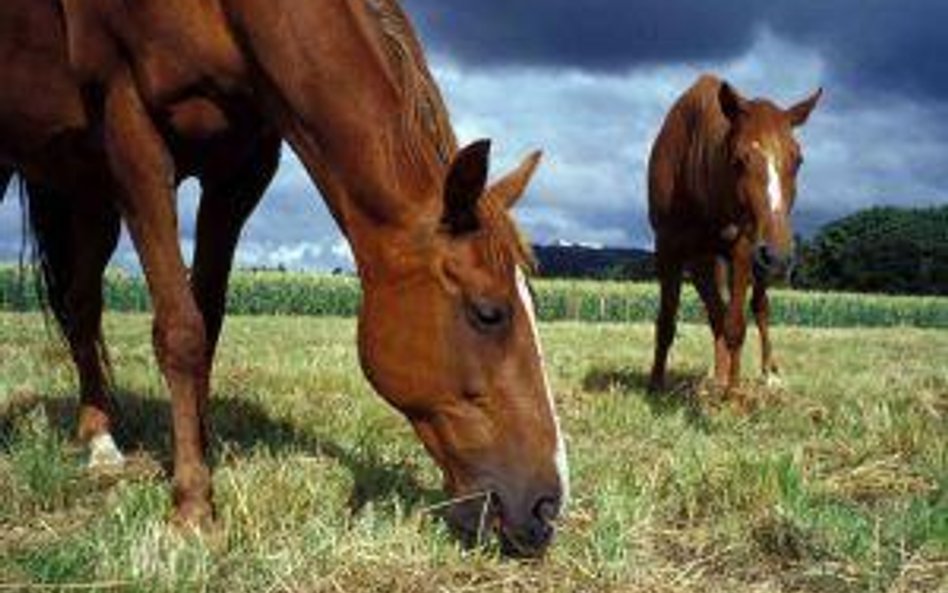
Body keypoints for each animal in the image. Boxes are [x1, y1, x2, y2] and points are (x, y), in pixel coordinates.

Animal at [0, 0, 568, 556]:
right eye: (488, 313)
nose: (546, 508)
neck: (226, 14)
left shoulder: (240, 170)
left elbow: (207, 323)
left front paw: (201, 455)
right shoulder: (133, 134)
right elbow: (181, 331)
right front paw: (193, 508)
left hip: (88, 189)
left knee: (80, 304)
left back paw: (97, 437)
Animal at [648, 75, 820, 394]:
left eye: (799, 160)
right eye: (738, 160)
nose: (778, 256)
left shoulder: (742, 248)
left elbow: (737, 325)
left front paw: (733, 394)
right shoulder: (668, 248)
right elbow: (668, 321)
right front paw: (655, 385)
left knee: (759, 308)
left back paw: (767, 373)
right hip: (706, 261)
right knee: (718, 311)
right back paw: (718, 375)